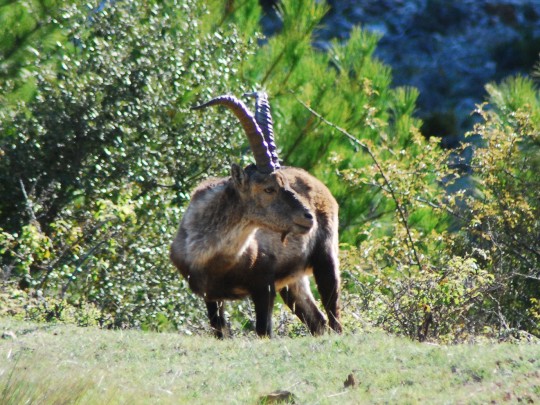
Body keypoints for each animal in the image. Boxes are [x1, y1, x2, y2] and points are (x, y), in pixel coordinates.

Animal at [172, 93, 342, 336]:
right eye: (269, 188)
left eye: (286, 183)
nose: (309, 217)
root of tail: (321, 186)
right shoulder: (210, 295)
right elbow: (220, 331)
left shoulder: (264, 286)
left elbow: (263, 331)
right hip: (293, 282)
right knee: (316, 321)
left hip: (326, 260)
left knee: (334, 318)